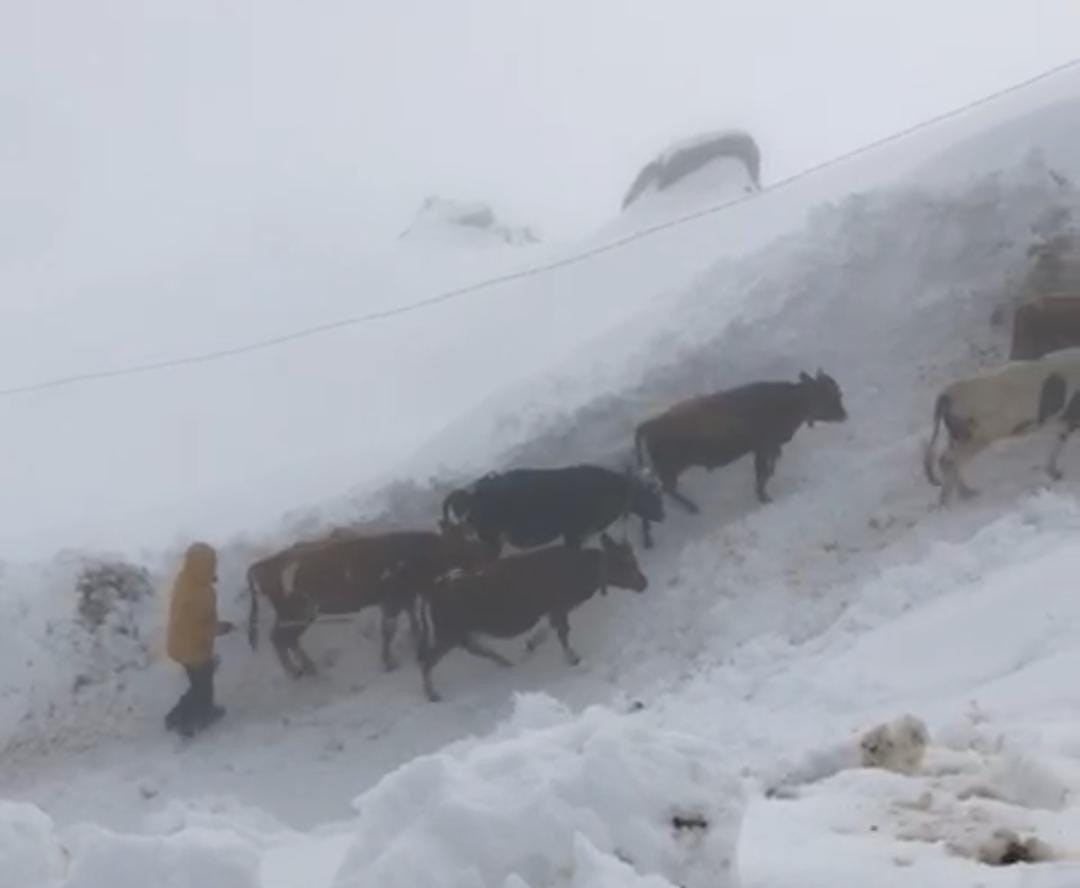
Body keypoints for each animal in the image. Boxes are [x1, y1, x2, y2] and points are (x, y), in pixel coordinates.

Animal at [247, 520, 488, 682]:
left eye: (473, 535)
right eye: (464, 542)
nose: (487, 554)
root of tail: (263, 565)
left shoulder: (406, 597)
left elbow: (414, 620)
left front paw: (417, 642)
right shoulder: (392, 602)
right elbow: (389, 630)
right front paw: (389, 662)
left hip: (295, 615)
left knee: (286, 640)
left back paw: (306, 667)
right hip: (296, 614)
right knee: (279, 638)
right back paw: (295, 671)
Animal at [412, 535, 648, 704]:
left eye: (633, 559)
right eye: (625, 562)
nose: (644, 583)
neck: (581, 571)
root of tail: (431, 591)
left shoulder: (553, 610)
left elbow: (548, 632)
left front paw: (530, 644)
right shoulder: (559, 606)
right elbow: (563, 633)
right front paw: (573, 658)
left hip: (457, 632)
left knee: (472, 648)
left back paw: (505, 662)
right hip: (449, 632)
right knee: (429, 660)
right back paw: (433, 694)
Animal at [630, 369, 851, 529]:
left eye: (836, 392)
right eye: (826, 395)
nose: (844, 415)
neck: (791, 400)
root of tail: (651, 424)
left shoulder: (768, 449)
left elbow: (766, 470)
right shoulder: (764, 448)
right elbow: (762, 473)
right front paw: (764, 497)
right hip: (672, 468)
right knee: (666, 489)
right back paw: (692, 508)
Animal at [920, 350, 1080, 507]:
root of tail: (946, 395)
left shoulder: (1065, 423)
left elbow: (1058, 442)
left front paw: (1054, 472)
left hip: (956, 436)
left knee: (946, 459)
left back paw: (966, 495)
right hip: (973, 437)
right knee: (950, 461)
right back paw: (952, 499)